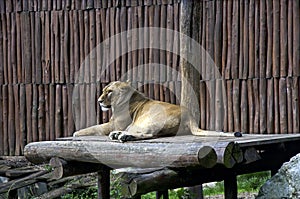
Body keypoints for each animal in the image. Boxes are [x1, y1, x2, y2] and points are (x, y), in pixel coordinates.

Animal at [74, 81, 243, 141]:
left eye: (109, 92)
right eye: (103, 91)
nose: (99, 101)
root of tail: (189, 115)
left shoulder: (114, 124)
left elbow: (93, 128)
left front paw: (76, 133)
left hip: (144, 122)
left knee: (148, 134)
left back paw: (123, 136)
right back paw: (119, 135)